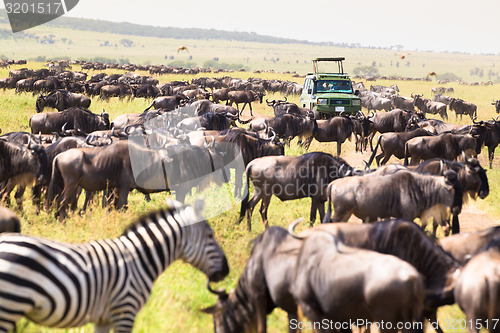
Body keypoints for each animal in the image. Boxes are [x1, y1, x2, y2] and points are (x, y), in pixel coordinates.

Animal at [0, 198, 229, 330]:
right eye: (210, 236)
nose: (227, 271)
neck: (141, 258)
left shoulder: (104, 319)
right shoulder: (125, 311)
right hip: (9, 305)